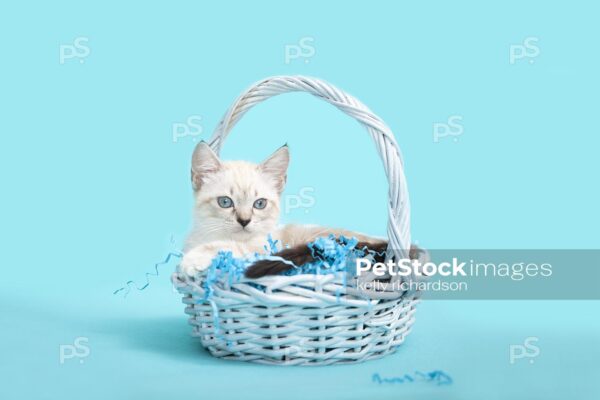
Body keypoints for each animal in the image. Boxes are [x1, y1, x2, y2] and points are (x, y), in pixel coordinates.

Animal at [180, 141, 384, 278]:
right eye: (225, 202)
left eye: (259, 204)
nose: (244, 221)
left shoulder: (262, 248)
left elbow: (229, 248)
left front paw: (192, 260)